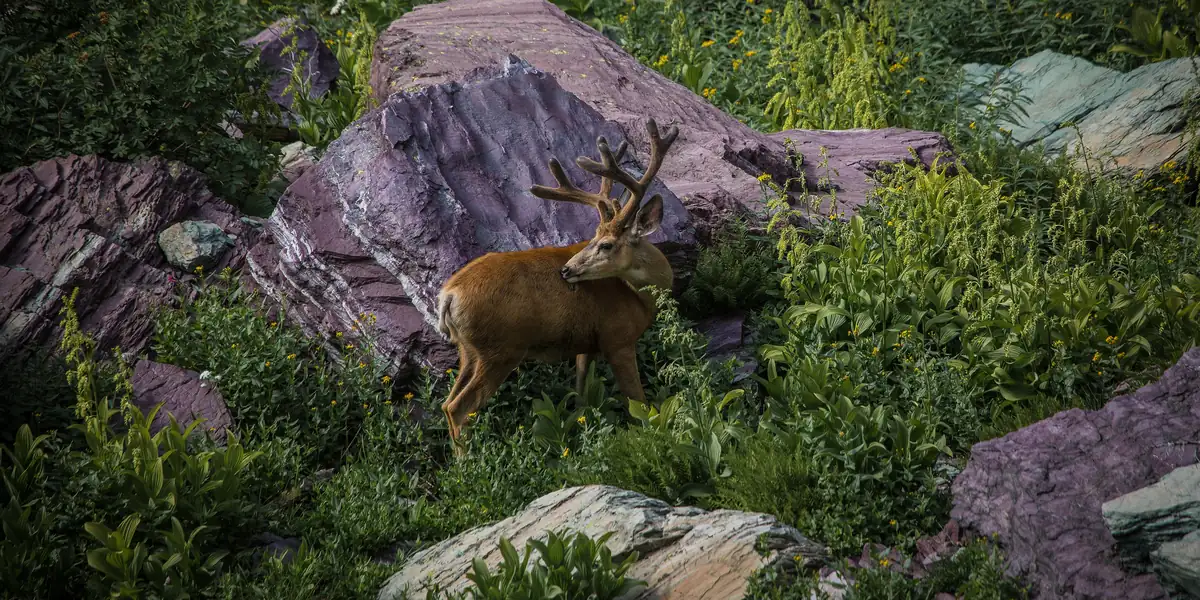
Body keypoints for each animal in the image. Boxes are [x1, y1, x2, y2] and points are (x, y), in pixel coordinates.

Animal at [435, 118, 680, 455]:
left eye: (604, 243)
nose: (566, 269)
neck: (640, 296)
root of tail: (449, 295)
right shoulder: (617, 338)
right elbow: (638, 403)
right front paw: (652, 438)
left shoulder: (586, 343)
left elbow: (580, 396)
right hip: (500, 349)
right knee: (459, 407)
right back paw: (468, 463)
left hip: (469, 350)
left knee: (446, 404)